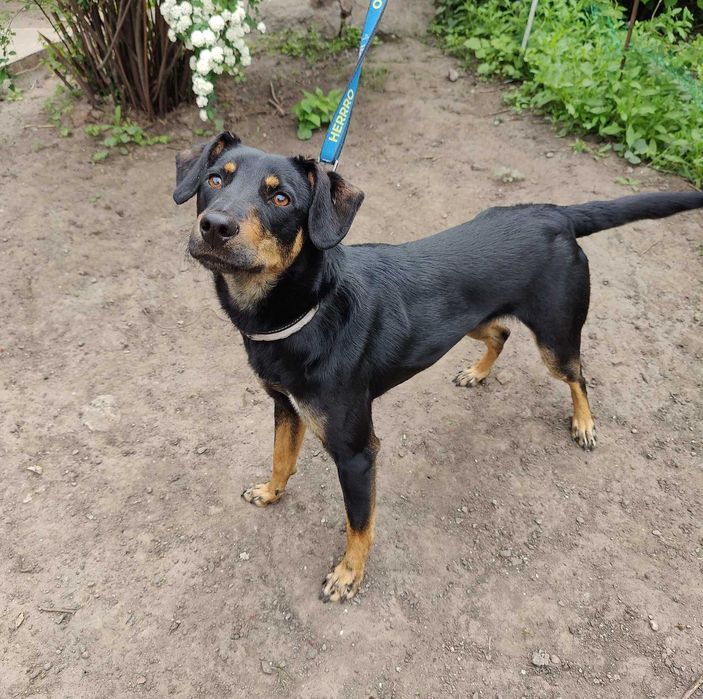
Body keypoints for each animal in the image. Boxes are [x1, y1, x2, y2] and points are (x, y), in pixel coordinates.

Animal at [173, 131, 703, 602]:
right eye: (215, 179)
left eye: (281, 198)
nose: (215, 226)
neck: (306, 309)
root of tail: (554, 212)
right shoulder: (285, 405)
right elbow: (282, 457)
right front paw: (271, 491)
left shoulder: (357, 451)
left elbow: (359, 524)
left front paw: (348, 575)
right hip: (467, 322)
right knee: (501, 334)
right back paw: (478, 372)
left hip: (555, 338)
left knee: (578, 375)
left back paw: (585, 423)